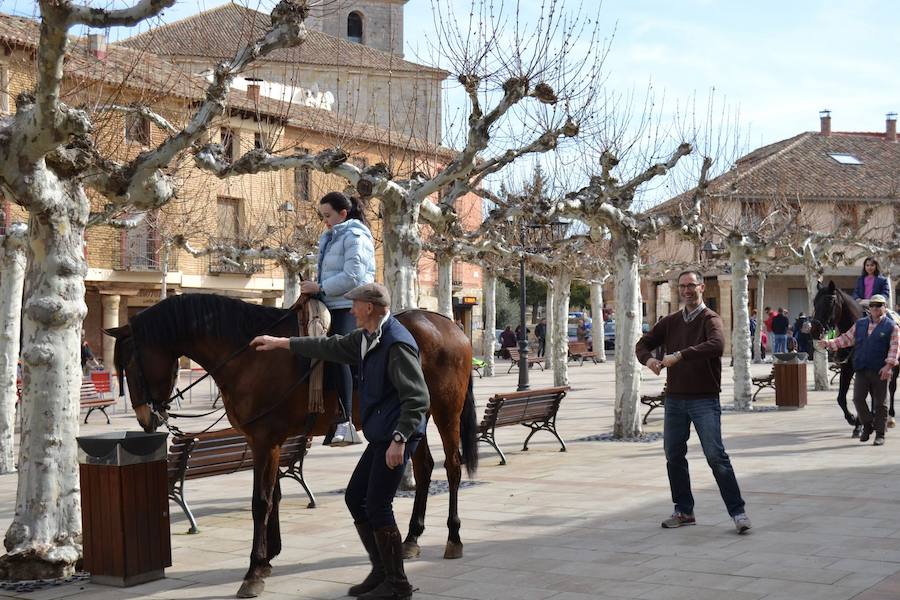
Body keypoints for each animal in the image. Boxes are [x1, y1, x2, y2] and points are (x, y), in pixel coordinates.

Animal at [105, 292, 478, 596]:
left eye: (131, 364)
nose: (144, 418)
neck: (248, 356)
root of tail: (449, 324)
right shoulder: (267, 442)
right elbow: (275, 496)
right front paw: (269, 557)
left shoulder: (265, 441)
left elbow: (261, 501)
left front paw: (254, 570)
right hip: (417, 417)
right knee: (425, 468)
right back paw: (412, 538)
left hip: (445, 410)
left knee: (453, 468)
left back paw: (453, 537)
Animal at [812, 282, 896, 436]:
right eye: (814, 302)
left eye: (829, 302)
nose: (814, 330)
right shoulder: (848, 368)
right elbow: (842, 397)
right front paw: (855, 421)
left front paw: (862, 420)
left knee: (892, 389)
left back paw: (890, 418)